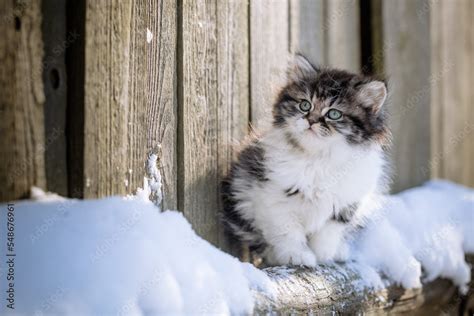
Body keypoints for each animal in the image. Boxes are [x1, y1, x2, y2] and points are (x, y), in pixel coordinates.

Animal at [221, 54, 388, 266]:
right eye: (305, 105)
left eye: (334, 114)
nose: (311, 120)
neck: (318, 159)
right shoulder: (273, 196)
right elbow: (288, 232)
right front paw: (297, 256)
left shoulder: (346, 204)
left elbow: (328, 232)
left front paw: (324, 255)